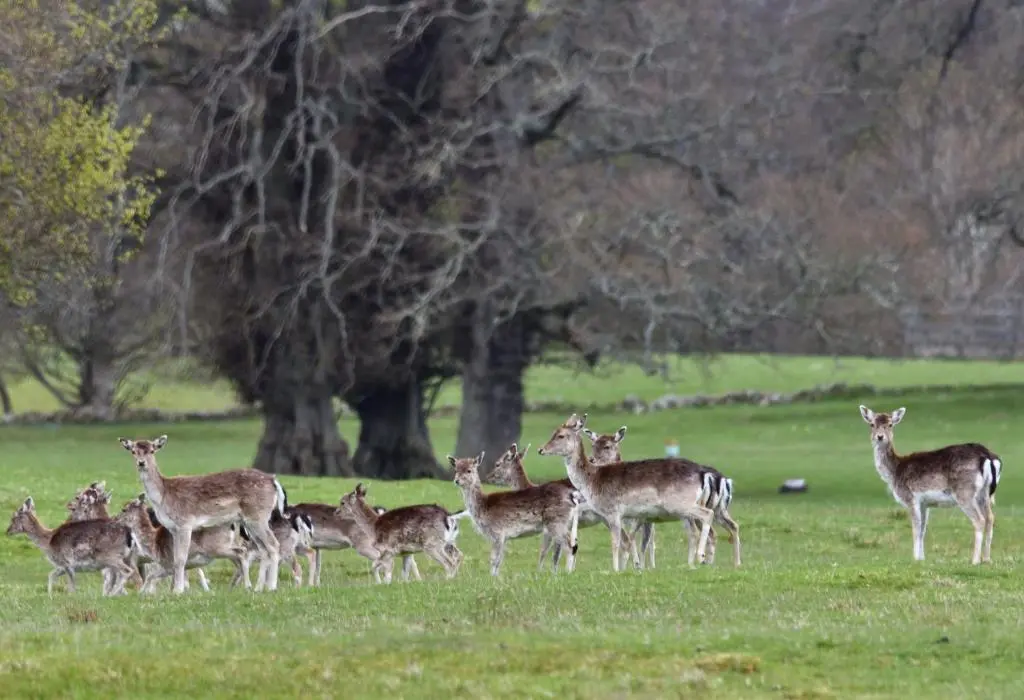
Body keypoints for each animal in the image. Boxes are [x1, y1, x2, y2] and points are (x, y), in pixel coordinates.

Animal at [7, 497, 138, 596]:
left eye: (14, 517)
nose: (7, 531)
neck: (48, 542)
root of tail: (129, 534)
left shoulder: (66, 562)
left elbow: (71, 584)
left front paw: (70, 596)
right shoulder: (62, 566)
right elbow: (51, 575)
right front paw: (50, 595)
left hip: (109, 556)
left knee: (126, 571)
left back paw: (111, 595)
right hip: (126, 557)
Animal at [115, 494, 252, 592]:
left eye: (124, 509)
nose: (115, 520)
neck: (154, 541)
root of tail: (233, 523)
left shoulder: (169, 563)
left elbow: (153, 576)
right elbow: (152, 577)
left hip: (217, 547)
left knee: (243, 552)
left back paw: (247, 586)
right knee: (239, 559)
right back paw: (234, 588)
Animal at [450, 451, 582, 576]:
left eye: (469, 470)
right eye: (456, 470)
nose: (456, 480)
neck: (482, 507)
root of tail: (572, 496)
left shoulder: (498, 532)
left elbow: (494, 559)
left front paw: (491, 578)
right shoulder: (503, 537)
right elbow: (499, 560)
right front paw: (495, 576)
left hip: (556, 521)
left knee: (570, 545)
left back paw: (567, 573)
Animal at [538, 413, 715, 572]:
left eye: (561, 435)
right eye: (552, 433)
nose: (541, 449)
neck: (591, 481)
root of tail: (702, 473)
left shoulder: (613, 512)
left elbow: (616, 542)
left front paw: (616, 569)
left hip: (679, 504)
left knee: (708, 514)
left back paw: (701, 557)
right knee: (695, 529)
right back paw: (692, 563)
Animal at [858, 405, 1002, 565]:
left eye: (890, 424)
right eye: (872, 424)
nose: (880, 436)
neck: (894, 472)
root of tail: (988, 456)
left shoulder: (911, 498)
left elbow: (915, 528)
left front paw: (915, 558)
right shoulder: (924, 503)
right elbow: (923, 529)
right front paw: (922, 558)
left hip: (965, 493)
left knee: (979, 520)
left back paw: (975, 560)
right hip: (984, 493)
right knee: (990, 518)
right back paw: (987, 559)